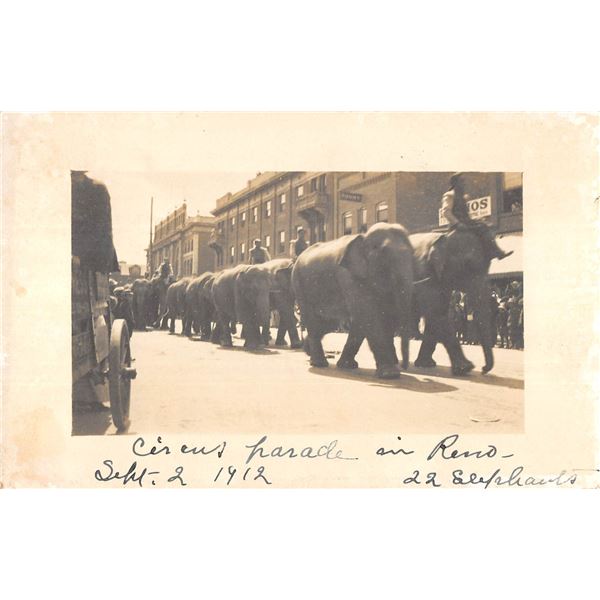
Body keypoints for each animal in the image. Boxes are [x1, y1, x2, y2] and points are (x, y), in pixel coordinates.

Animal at [290, 220, 412, 380]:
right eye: (384, 253)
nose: (403, 366)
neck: (364, 237)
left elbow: (368, 318)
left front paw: (348, 366)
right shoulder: (347, 275)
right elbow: (367, 314)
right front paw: (390, 374)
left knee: (325, 324)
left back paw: (308, 350)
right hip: (299, 285)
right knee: (314, 321)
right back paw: (319, 363)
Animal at [408, 226, 496, 372]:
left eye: (489, 265)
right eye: (468, 265)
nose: (483, 369)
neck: (444, 236)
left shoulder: (442, 282)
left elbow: (438, 315)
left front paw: (426, 364)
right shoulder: (423, 274)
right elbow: (437, 315)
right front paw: (466, 367)